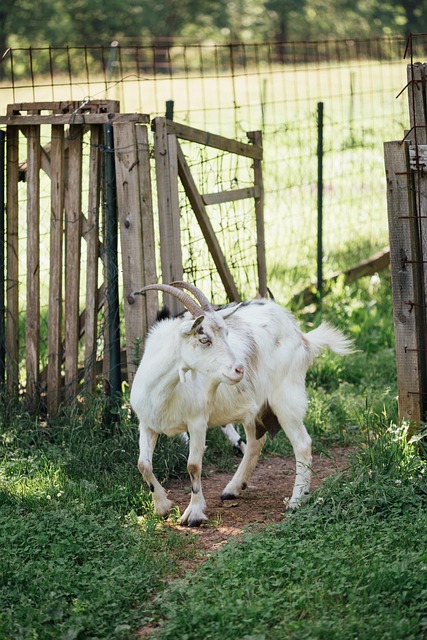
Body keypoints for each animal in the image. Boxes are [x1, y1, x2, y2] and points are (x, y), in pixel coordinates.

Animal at [130, 281, 354, 527]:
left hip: (286, 397)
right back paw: (232, 488)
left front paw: (194, 514)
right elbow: (143, 464)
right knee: (256, 442)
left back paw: (295, 502)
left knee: (302, 444)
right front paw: (162, 506)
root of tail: (300, 335)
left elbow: (193, 465)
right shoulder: (147, 424)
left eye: (227, 334)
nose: (239, 369)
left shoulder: (197, 422)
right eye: (204, 339)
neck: (165, 389)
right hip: (253, 408)